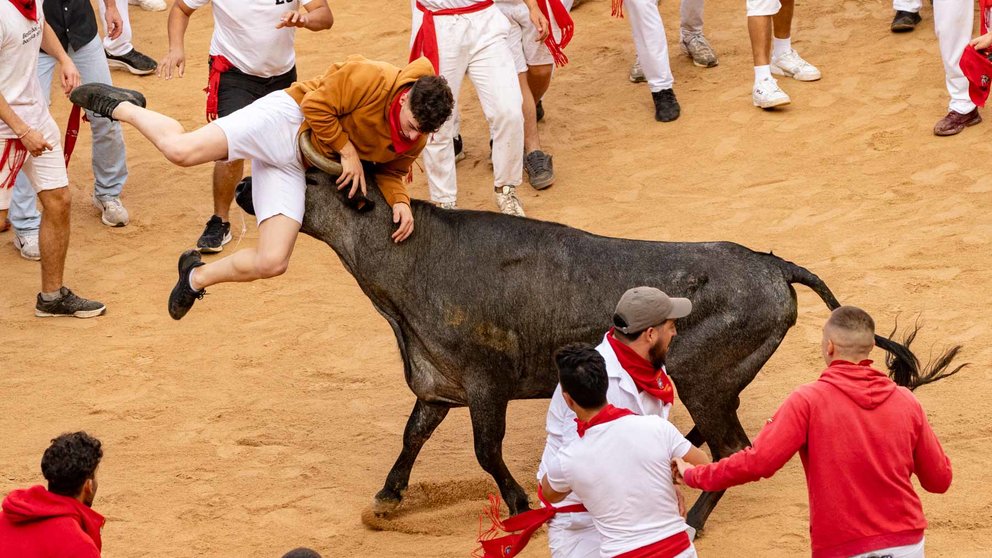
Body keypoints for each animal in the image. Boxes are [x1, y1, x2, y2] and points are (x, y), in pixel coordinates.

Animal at [260, 168, 956, 532]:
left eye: (308, 176)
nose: (245, 194)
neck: (410, 260)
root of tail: (772, 263)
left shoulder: (485, 384)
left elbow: (486, 451)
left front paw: (521, 508)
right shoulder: (438, 383)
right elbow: (412, 436)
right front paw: (385, 501)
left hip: (701, 374)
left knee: (733, 445)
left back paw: (692, 519)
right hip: (717, 380)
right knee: (722, 438)